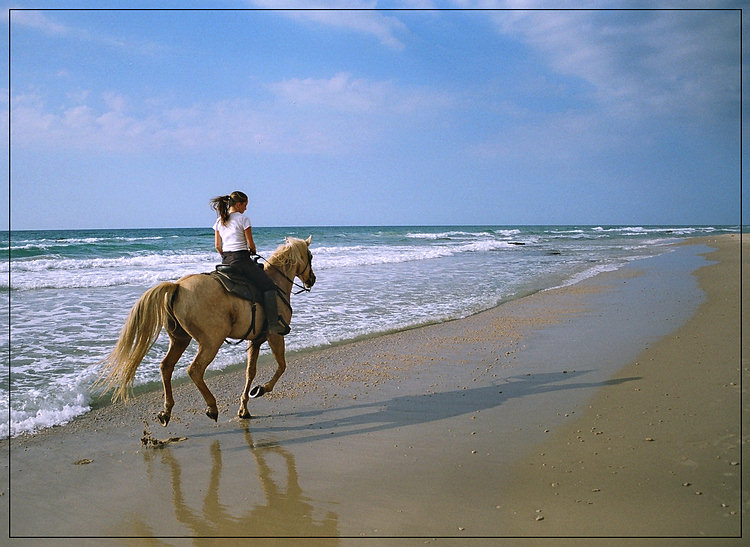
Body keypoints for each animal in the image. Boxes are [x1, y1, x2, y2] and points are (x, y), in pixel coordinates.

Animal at [96, 235, 314, 424]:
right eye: (310, 257)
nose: (312, 279)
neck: (276, 283)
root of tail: (177, 286)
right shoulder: (275, 335)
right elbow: (281, 366)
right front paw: (261, 389)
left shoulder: (255, 340)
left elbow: (249, 372)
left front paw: (244, 408)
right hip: (211, 342)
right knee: (195, 370)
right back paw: (211, 407)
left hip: (180, 339)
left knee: (166, 367)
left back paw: (166, 411)